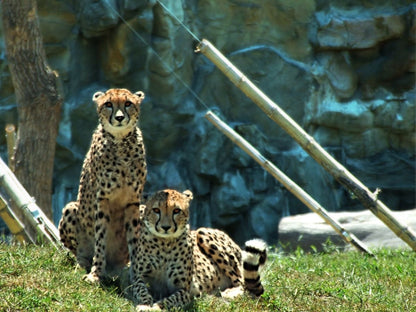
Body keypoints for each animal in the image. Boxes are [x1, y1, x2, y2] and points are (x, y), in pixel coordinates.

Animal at [57, 87, 147, 282]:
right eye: (108, 104)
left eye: (128, 103)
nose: (119, 117)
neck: (121, 142)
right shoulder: (103, 199)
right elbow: (101, 237)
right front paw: (95, 274)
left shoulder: (133, 201)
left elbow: (134, 240)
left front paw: (137, 274)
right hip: (71, 207)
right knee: (79, 252)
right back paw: (83, 264)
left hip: (145, 209)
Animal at [125, 189, 266, 310]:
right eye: (156, 210)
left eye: (176, 210)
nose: (165, 227)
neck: (164, 243)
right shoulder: (137, 278)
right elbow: (141, 290)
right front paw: (145, 304)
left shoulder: (186, 290)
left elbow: (170, 299)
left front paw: (156, 307)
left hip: (202, 233)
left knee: (243, 283)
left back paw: (229, 293)